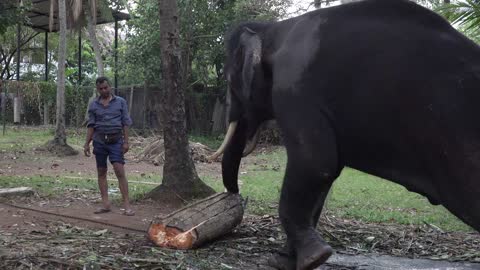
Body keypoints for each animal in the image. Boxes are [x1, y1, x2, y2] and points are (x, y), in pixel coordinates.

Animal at [209, 0, 480, 268]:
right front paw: (283, 260)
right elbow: (326, 175)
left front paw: (313, 257)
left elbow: (315, 164)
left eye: (229, 80)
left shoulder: (295, 91)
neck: (275, 29)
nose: (235, 196)